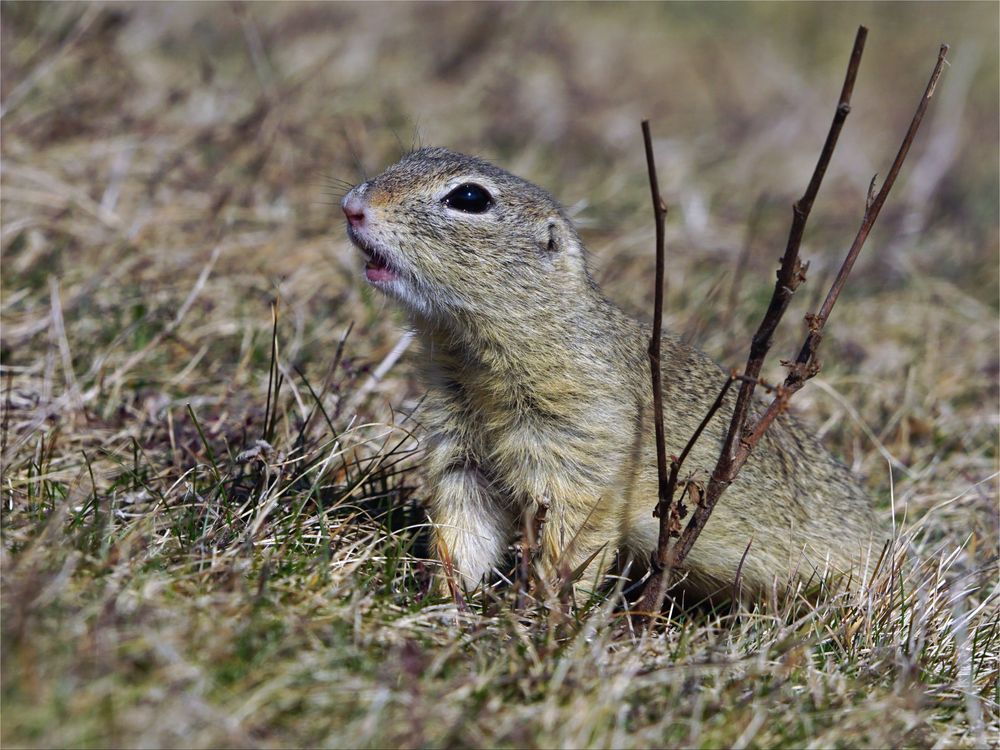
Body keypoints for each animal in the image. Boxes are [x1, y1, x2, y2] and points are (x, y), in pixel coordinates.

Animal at [342, 148, 876, 600]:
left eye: (469, 198)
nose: (352, 206)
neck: (478, 358)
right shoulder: (461, 452)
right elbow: (463, 530)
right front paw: (445, 599)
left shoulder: (582, 446)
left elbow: (572, 540)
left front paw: (541, 617)